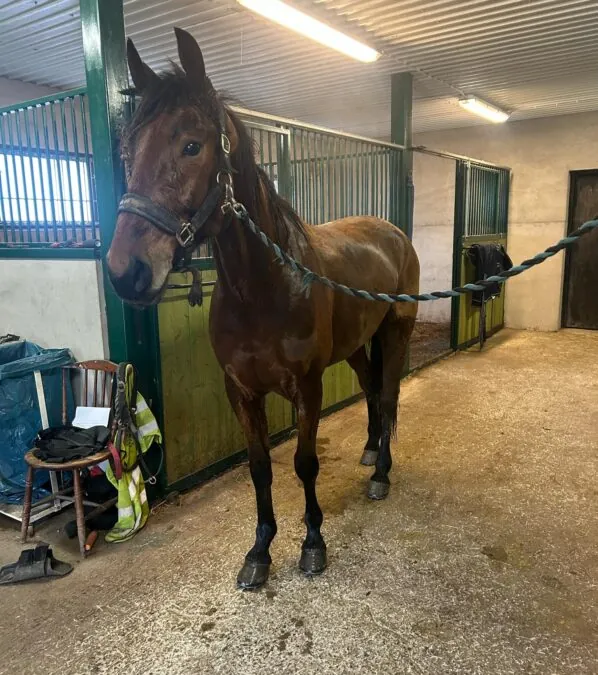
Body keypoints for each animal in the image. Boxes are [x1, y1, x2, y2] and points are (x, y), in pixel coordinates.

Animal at [107, 27, 420, 589]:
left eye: (192, 145)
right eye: (127, 149)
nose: (127, 271)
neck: (265, 289)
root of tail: (392, 233)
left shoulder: (307, 388)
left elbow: (304, 463)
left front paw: (312, 543)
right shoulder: (241, 391)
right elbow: (259, 468)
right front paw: (259, 551)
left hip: (395, 333)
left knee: (387, 397)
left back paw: (382, 474)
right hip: (357, 345)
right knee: (368, 389)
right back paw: (369, 453)